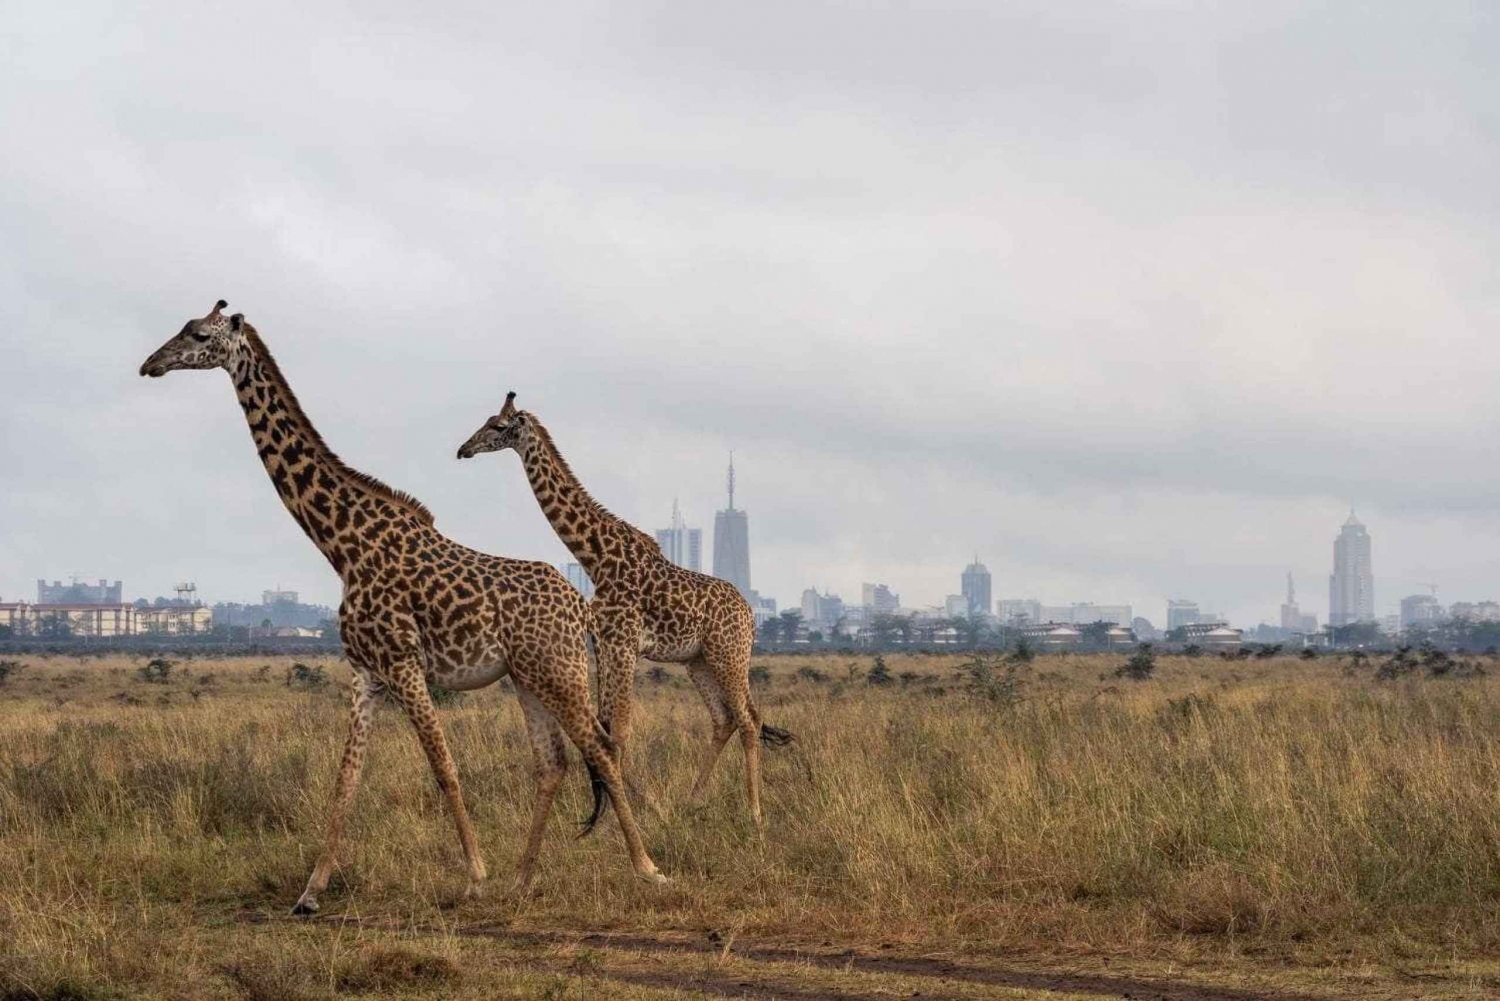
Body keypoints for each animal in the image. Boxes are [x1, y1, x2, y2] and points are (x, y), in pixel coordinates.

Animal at [141, 301, 669, 912]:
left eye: (198, 335)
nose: (150, 365)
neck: (341, 546)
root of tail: (579, 607)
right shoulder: (365, 672)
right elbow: (346, 778)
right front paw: (310, 892)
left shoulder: (403, 663)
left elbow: (444, 768)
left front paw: (474, 876)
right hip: (527, 676)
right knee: (554, 762)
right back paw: (523, 879)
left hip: (557, 670)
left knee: (602, 748)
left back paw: (647, 867)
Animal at [453, 387, 792, 828]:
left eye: (496, 425)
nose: (463, 450)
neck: (595, 557)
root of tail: (752, 616)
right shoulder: (606, 642)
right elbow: (610, 727)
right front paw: (630, 811)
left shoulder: (624, 643)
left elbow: (621, 730)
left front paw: (626, 816)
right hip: (698, 660)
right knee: (725, 719)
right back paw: (691, 801)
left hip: (727, 653)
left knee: (749, 719)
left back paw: (754, 812)